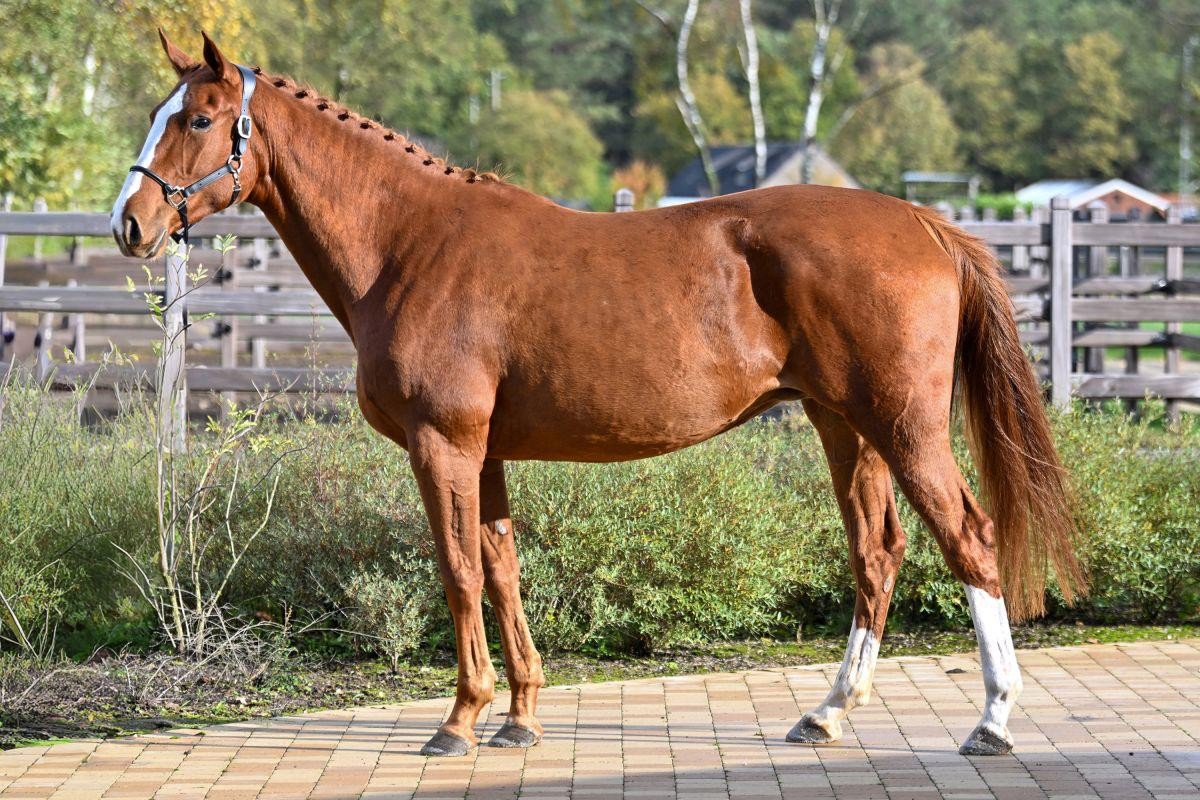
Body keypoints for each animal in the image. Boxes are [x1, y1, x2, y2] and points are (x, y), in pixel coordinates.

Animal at [111, 31, 1084, 758]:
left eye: (198, 118)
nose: (129, 224)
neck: (408, 244)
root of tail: (923, 221)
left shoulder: (443, 444)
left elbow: (459, 572)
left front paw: (459, 721)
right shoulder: (485, 453)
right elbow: (502, 568)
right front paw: (519, 717)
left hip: (904, 426)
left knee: (969, 538)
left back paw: (993, 719)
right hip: (846, 426)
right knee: (877, 554)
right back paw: (827, 713)